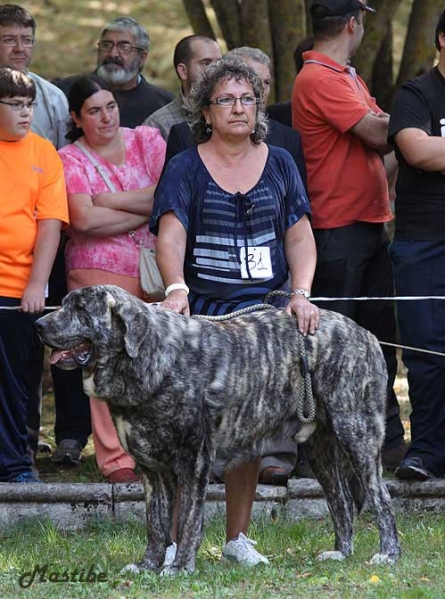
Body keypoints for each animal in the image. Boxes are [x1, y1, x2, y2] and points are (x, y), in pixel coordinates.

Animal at [36, 286, 400, 576]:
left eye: (81, 309)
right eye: (65, 303)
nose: (38, 324)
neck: (150, 358)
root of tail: (367, 335)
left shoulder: (194, 462)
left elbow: (187, 520)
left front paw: (179, 567)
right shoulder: (151, 470)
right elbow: (155, 523)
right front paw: (148, 565)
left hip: (356, 433)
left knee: (380, 497)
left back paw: (388, 554)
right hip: (318, 448)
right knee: (341, 500)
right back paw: (341, 553)